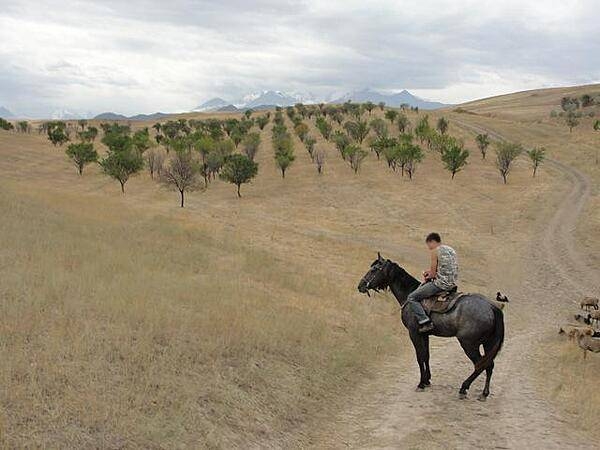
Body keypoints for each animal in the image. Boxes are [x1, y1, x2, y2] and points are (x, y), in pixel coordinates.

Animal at [358, 253, 504, 400]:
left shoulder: (414, 333)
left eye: (374, 269)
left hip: (469, 344)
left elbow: (419, 356)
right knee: (489, 365)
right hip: (488, 343)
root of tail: (492, 307)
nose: (360, 286)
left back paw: (464, 388)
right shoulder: (424, 334)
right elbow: (426, 355)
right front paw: (427, 380)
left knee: (480, 365)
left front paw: (421, 383)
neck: (409, 295)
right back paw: (484, 393)